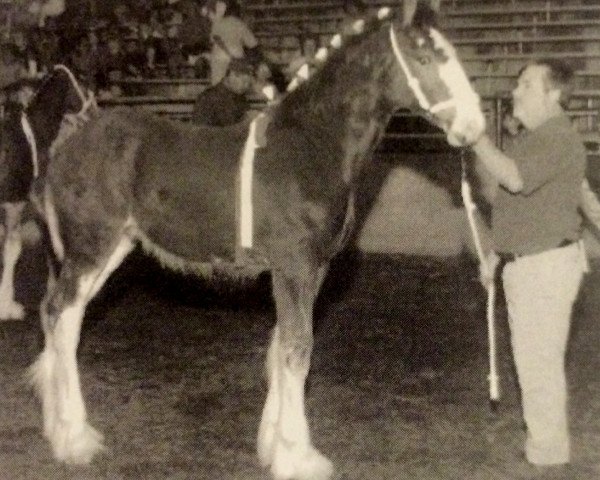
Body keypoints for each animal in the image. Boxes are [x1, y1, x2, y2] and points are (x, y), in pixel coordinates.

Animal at [30, 1, 486, 478]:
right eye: (425, 57)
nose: (474, 125)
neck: (312, 144)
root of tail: (62, 151)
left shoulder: (309, 270)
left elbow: (280, 347)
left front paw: (273, 446)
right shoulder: (294, 268)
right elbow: (297, 351)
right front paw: (299, 456)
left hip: (110, 248)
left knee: (57, 315)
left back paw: (57, 428)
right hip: (90, 248)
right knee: (63, 318)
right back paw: (75, 439)